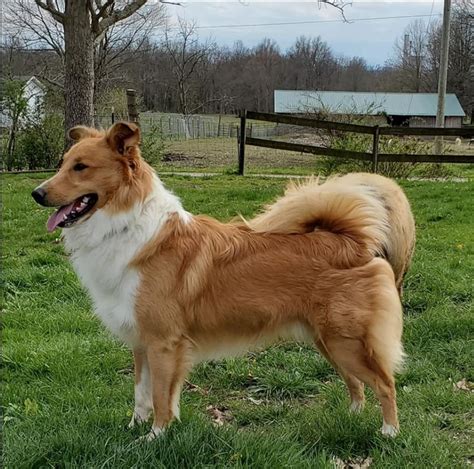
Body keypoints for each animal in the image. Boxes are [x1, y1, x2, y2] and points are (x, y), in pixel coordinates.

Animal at [32, 120, 404, 438]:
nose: (37, 194)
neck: (127, 227)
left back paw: (389, 432)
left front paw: (155, 437)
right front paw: (133, 429)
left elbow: (162, 398)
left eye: (81, 167)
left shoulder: (164, 343)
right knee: (356, 384)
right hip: (327, 340)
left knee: (384, 383)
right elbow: (141, 393)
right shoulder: (141, 341)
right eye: (62, 164)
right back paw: (351, 416)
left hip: (345, 341)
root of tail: (350, 241)